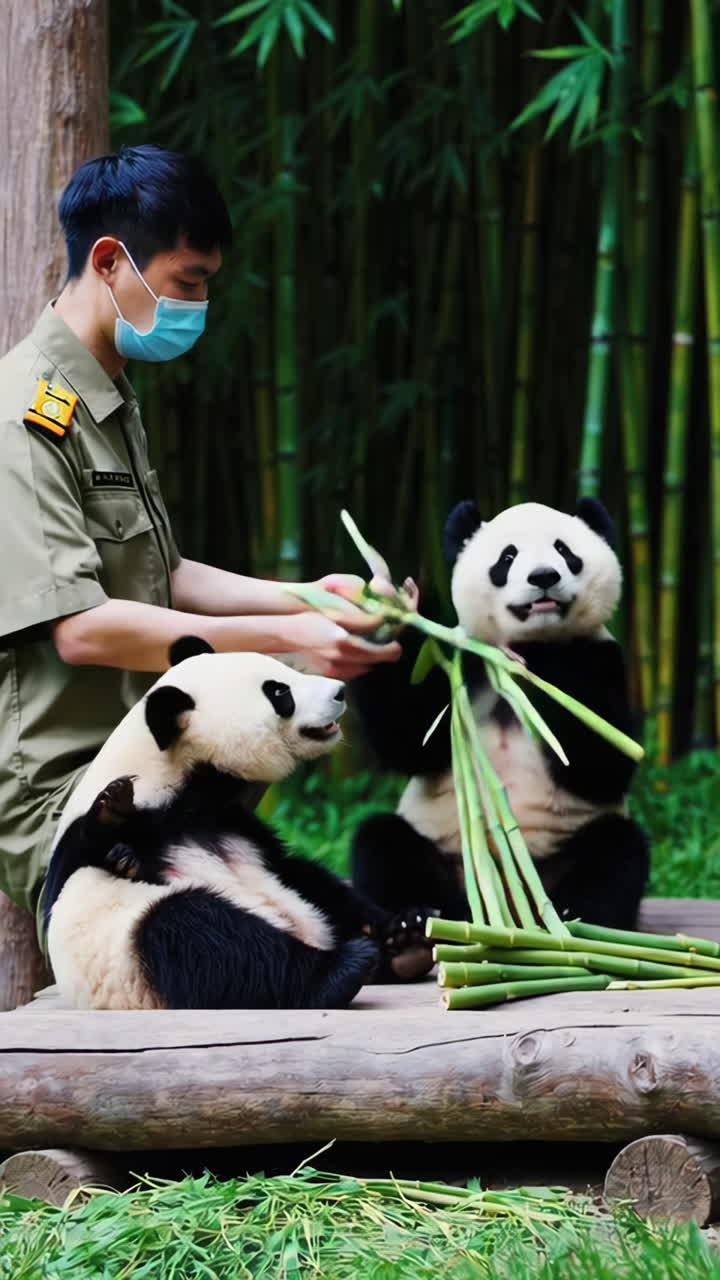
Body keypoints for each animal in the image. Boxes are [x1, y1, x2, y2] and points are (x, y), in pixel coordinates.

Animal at [44, 636, 433, 1011]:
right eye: (279, 692)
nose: (339, 691)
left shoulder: (235, 822)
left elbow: (299, 869)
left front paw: (399, 925)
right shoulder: (95, 848)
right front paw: (117, 828)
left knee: (312, 887)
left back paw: (406, 941)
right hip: (132, 949)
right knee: (196, 930)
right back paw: (343, 968)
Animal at [350, 498, 650, 934]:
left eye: (565, 551)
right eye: (507, 557)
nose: (543, 577)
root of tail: (509, 908)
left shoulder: (601, 658)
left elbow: (605, 765)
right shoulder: (463, 667)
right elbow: (411, 742)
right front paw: (393, 611)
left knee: (617, 851)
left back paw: (577, 920)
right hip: (452, 858)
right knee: (382, 842)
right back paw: (418, 918)